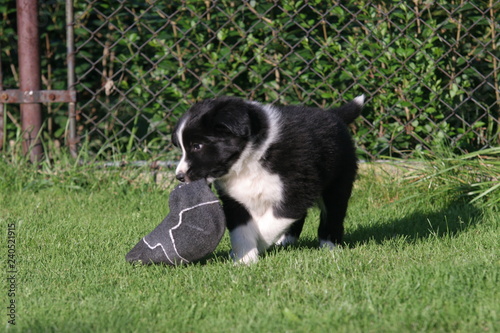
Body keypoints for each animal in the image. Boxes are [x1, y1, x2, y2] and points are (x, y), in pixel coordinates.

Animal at [172, 94, 364, 264]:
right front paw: (244, 260)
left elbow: (269, 224)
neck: (251, 160)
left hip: (338, 183)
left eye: (197, 146)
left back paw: (329, 246)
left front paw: (257, 246)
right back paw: (286, 241)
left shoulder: (296, 192)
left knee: (333, 214)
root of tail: (333, 114)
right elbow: (241, 231)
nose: (179, 176)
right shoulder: (234, 201)